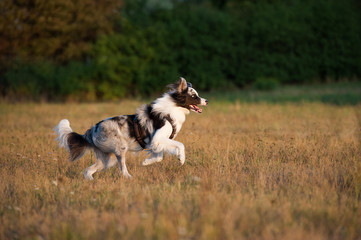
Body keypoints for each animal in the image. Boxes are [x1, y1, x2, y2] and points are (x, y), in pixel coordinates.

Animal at [54, 78, 210, 179]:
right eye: (194, 96)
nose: (207, 101)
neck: (172, 109)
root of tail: (91, 131)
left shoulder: (156, 142)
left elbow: (159, 156)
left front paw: (146, 162)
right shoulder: (158, 138)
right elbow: (180, 145)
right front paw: (181, 159)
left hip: (106, 159)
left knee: (87, 171)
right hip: (120, 149)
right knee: (122, 170)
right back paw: (130, 177)